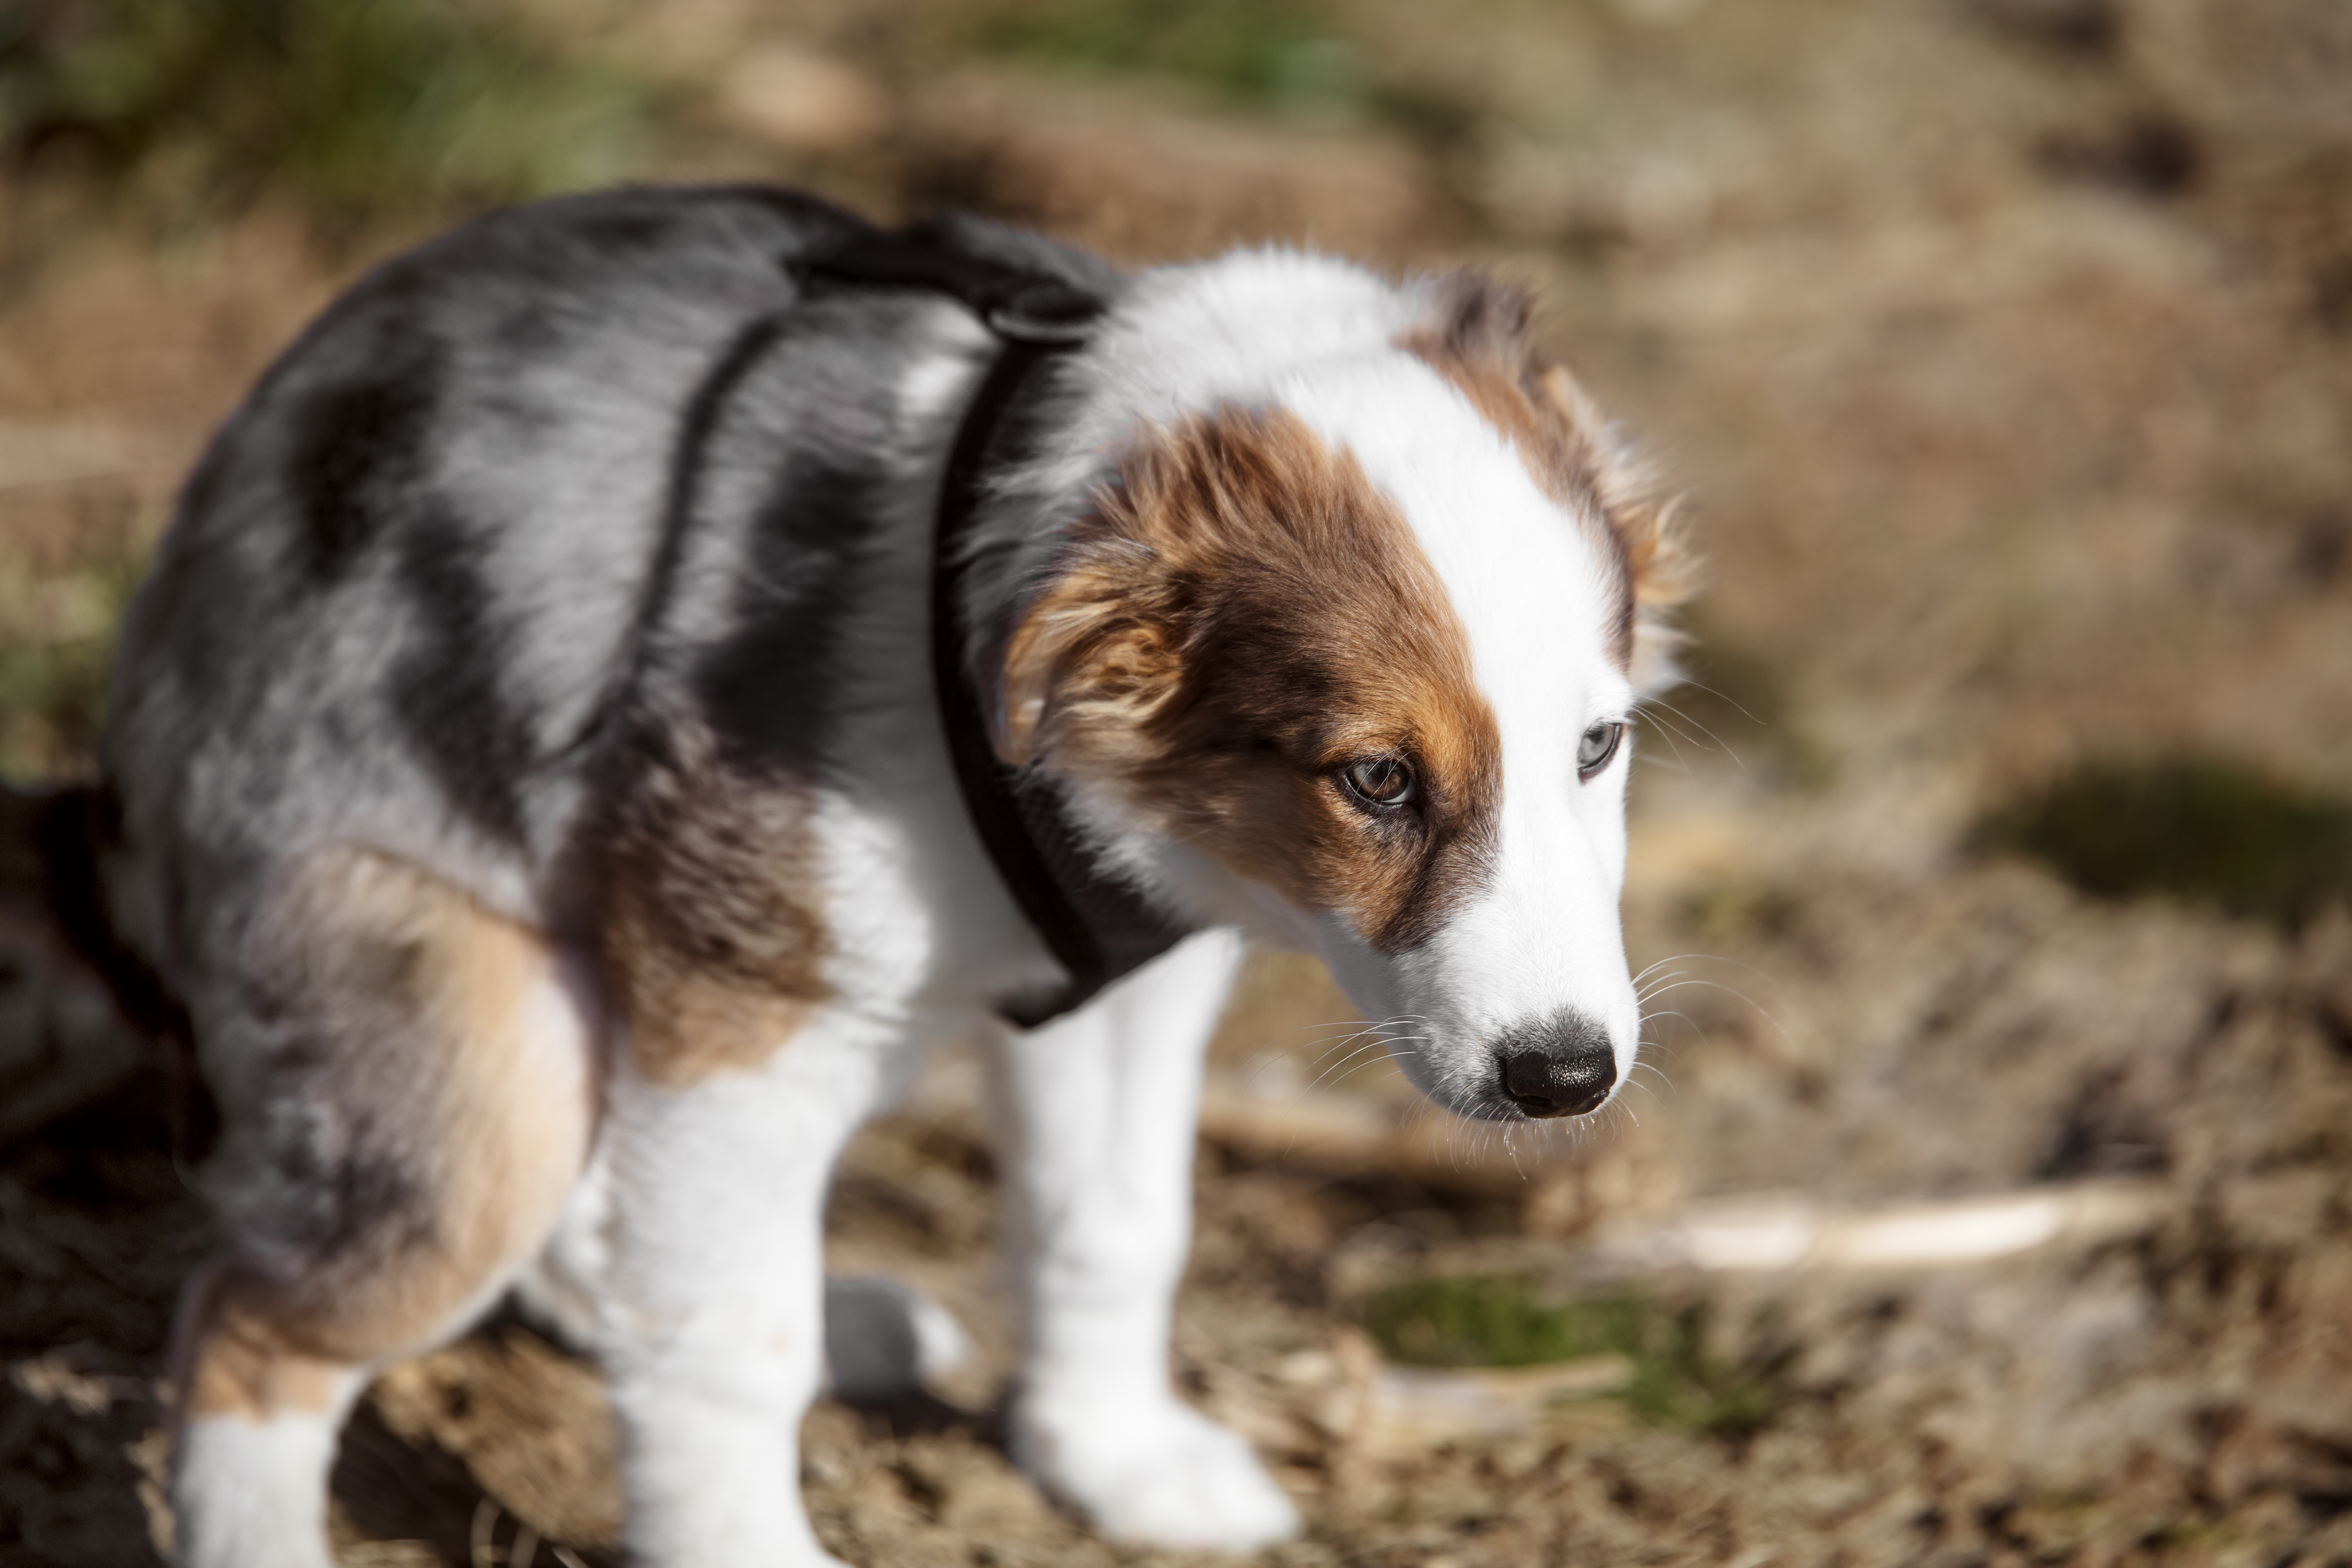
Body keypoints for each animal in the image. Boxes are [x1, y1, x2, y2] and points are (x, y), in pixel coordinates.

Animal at [101, 187, 1684, 1568]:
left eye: (1598, 745)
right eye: (1376, 780)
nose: (1565, 1079)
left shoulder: (1133, 981)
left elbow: (1112, 1224)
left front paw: (1113, 1459)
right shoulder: (742, 1003)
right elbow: (731, 1336)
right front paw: (745, 1545)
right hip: (478, 1046)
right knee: (252, 1318)